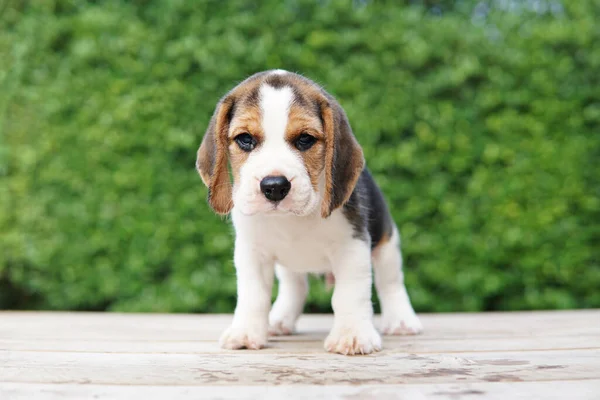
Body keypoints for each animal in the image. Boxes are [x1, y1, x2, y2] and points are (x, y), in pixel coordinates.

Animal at [197, 69, 422, 356]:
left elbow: (351, 293)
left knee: (391, 282)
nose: (274, 186)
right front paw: (245, 332)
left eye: (305, 139)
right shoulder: (251, 252)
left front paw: (352, 335)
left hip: (387, 242)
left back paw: (402, 320)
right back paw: (279, 320)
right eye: (245, 139)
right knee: (296, 287)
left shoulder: (353, 246)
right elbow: (253, 295)